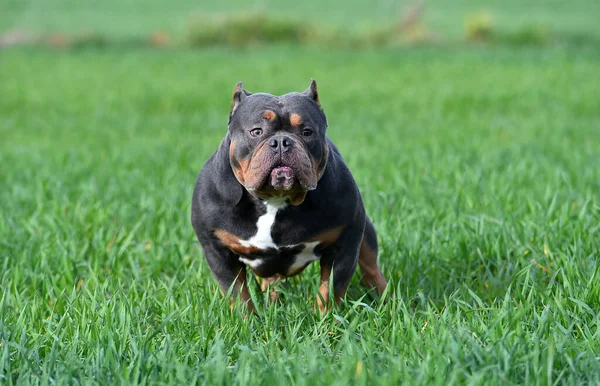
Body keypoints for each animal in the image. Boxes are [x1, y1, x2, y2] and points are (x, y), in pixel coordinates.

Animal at [192, 80, 390, 312]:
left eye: (307, 132)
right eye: (256, 131)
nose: (281, 141)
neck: (275, 199)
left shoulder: (344, 243)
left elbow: (330, 291)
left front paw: (325, 319)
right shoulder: (218, 251)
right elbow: (238, 295)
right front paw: (247, 318)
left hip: (365, 233)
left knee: (371, 268)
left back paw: (388, 301)